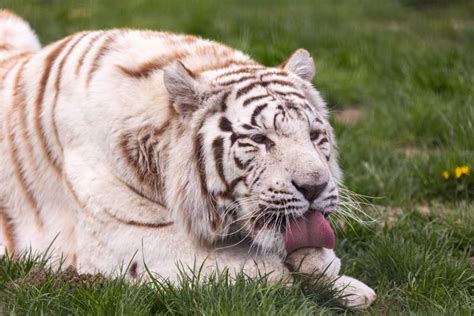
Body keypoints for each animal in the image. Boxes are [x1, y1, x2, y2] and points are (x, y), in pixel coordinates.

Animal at [0, 10, 376, 308]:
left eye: (313, 135)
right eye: (259, 139)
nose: (314, 187)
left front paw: (349, 286)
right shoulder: (127, 241)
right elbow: (259, 272)